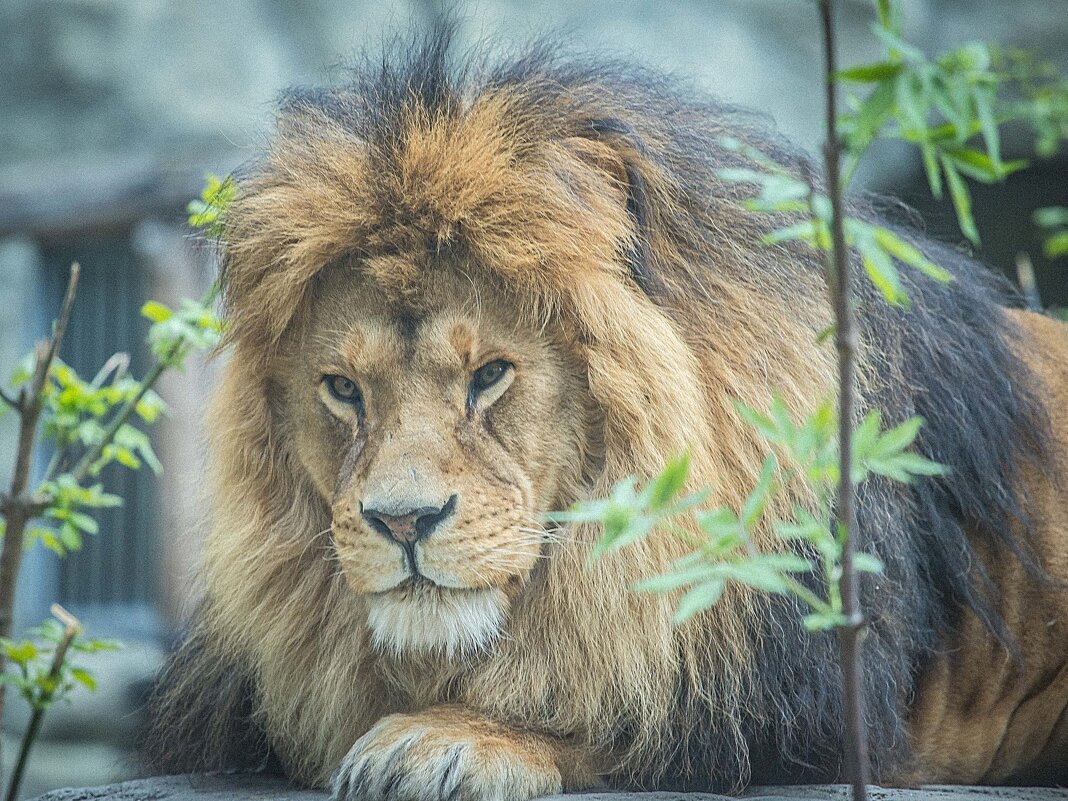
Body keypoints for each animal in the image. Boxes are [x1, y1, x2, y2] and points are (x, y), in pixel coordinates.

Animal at [145, 30, 1068, 798]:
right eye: (342, 388)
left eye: (489, 375)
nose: (402, 522)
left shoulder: (799, 711)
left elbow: (625, 716)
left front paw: (447, 740)